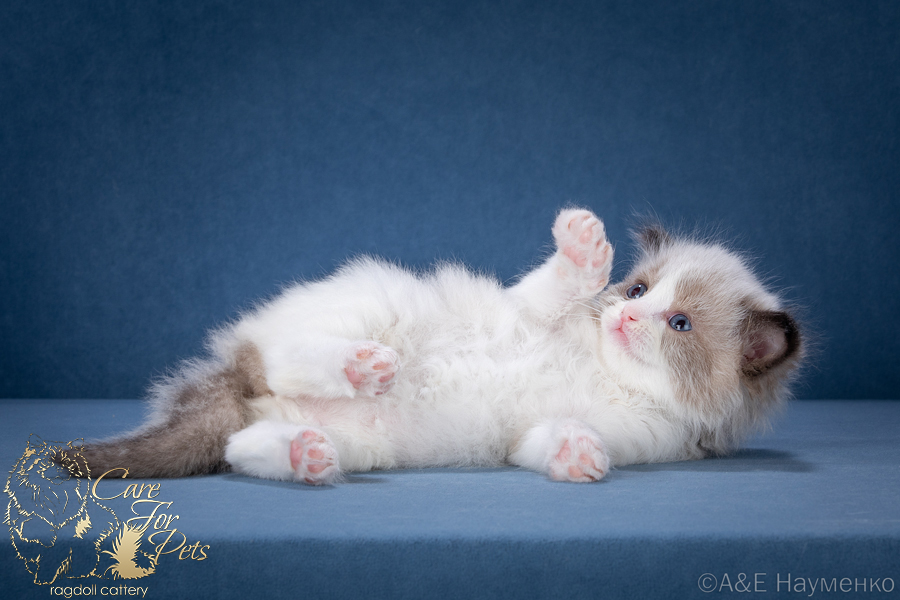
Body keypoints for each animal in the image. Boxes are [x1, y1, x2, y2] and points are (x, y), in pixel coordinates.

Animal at [60, 208, 801, 485]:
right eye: (638, 289)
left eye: (678, 325)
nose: (623, 317)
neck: (605, 370)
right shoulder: (531, 311)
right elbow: (555, 285)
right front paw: (585, 246)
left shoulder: (633, 437)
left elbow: (551, 441)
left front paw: (577, 455)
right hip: (370, 304)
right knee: (288, 355)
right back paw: (359, 364)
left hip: (358, 441)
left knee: (244, 447)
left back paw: (306, 454)